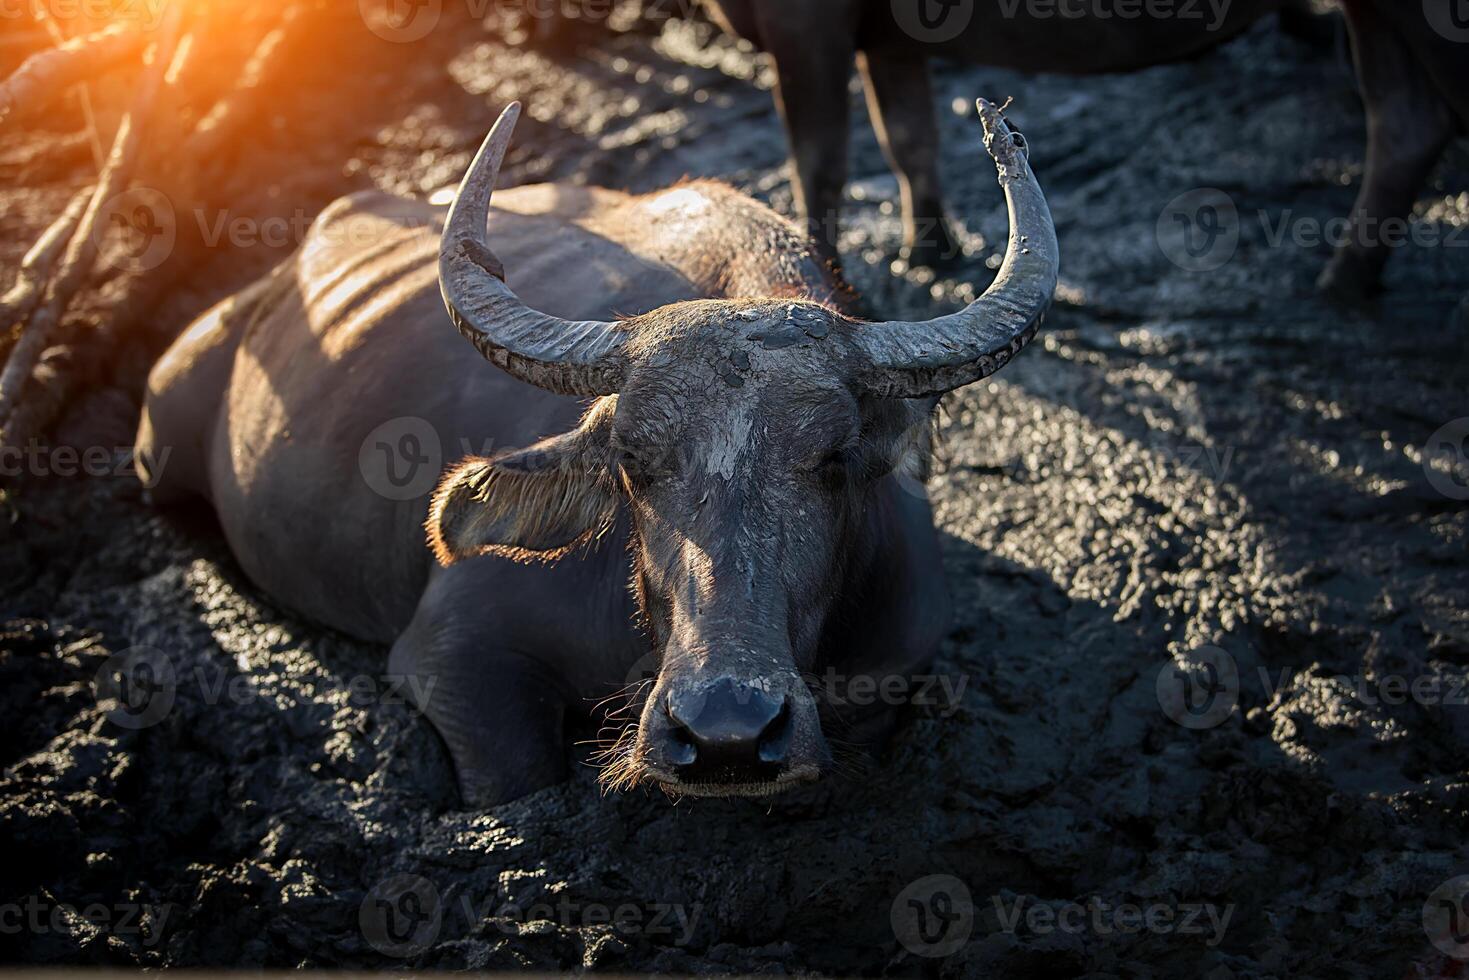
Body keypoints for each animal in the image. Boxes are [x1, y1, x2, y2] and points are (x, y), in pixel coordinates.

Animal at [705, 0, 1463, 302]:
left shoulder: (806, 27)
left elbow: (819, 162)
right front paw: (930, 250)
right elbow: (908, 139)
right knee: (1407, 121)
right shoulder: (887, 38)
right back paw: (1344, 280)